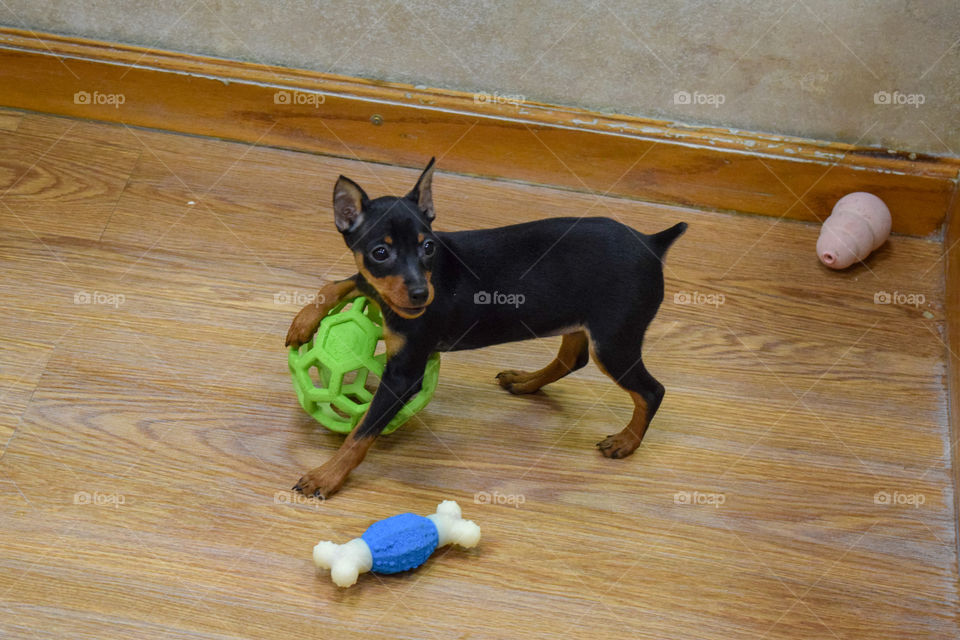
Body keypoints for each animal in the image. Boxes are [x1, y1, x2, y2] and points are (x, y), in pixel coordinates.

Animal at [284, 158, 684, 498]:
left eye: (428, 247)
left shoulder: (404, 376)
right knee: (573, 359)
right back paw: (525, 381)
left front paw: (326, 475)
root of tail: (652, 242)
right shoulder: (377, 288)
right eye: (380, 253)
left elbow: (361, 430)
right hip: (580, 319)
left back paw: (626, 441)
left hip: (613, 340)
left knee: (651, 391)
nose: (421, 294)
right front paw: (302, 322)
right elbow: (341, 282)